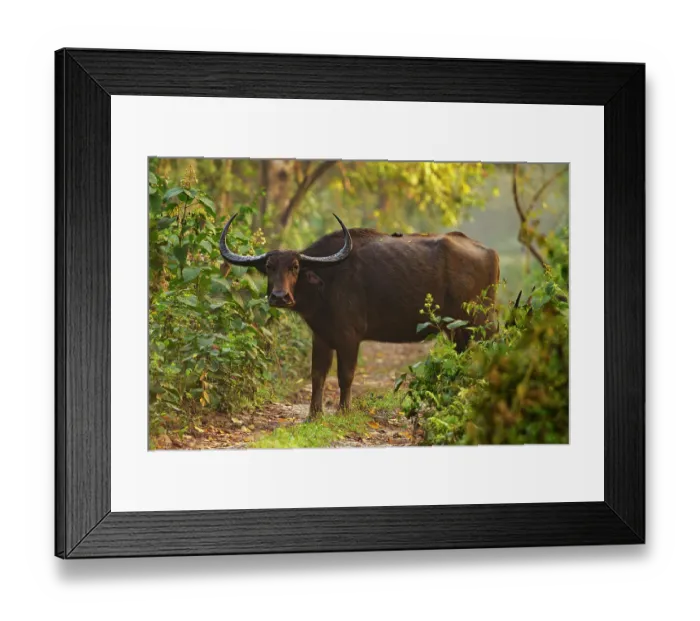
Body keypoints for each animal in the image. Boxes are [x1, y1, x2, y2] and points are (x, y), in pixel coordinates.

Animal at [220, 214, 500, 418]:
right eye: (269, 267)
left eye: (295, 266)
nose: (280, 296)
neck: (326, 280)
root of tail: (490, 253)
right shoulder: (321, 336)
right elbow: (317, 375)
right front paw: (314, 414)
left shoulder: (349, 337)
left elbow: (345, 375)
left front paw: (343, 411)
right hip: (459, 331)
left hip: (478, 325)